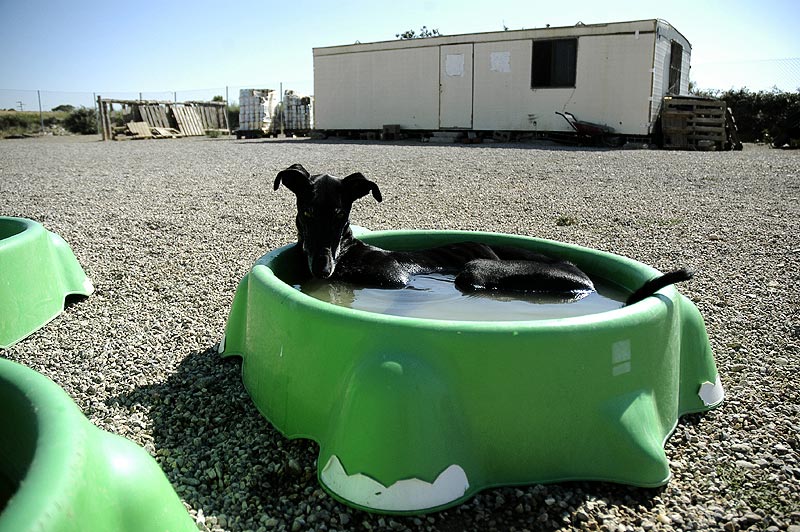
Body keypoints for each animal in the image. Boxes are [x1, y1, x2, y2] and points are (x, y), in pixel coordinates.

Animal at [274, 162, 688, 304]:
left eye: (340, 215)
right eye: (306, 212)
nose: (321, 269)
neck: (346, 253)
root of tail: (586, 281)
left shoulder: (396, 280)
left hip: (477, 268)